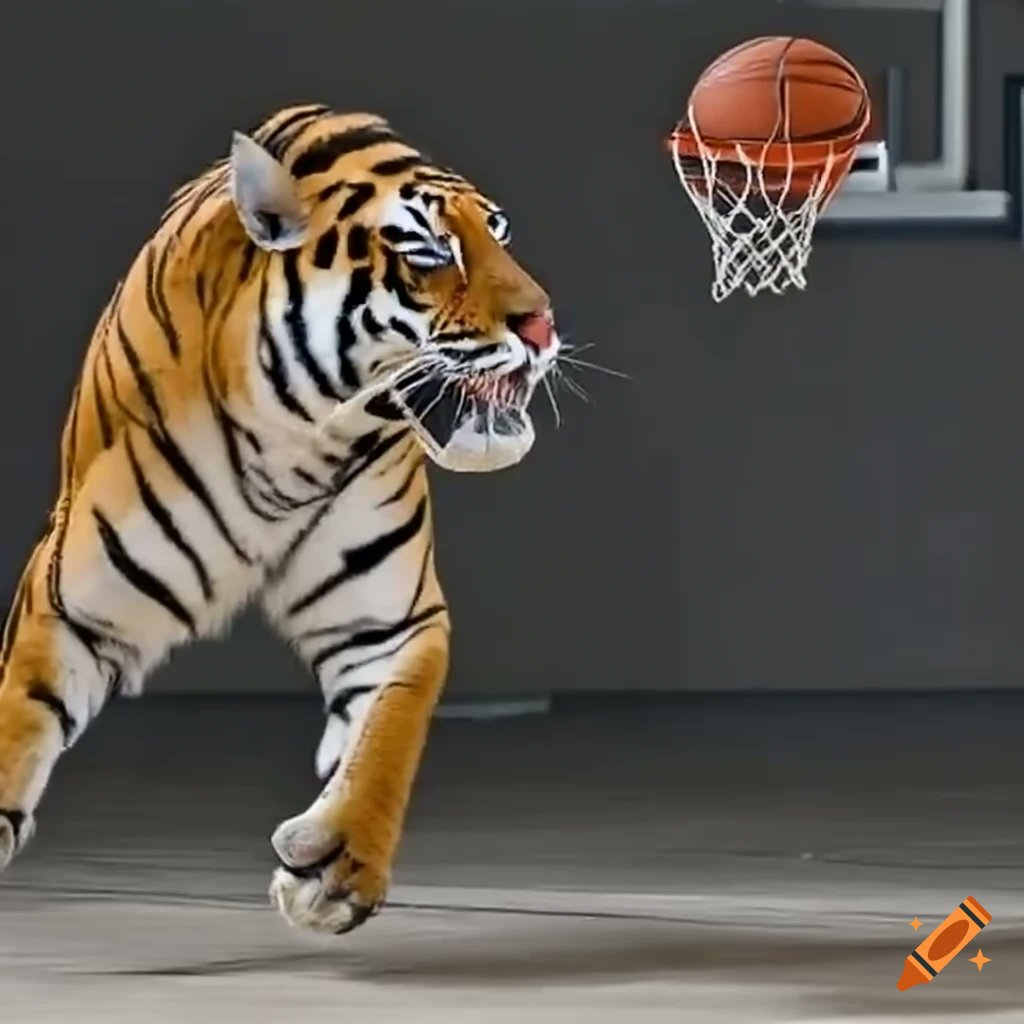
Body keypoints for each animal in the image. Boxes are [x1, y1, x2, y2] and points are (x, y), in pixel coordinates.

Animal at [0, 104, 561, 935]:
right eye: (429, 251)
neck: (297, 439)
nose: (543, 327)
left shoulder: (391, 624)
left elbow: (389, 732)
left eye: (501, 234)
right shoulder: (72, 602)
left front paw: (336, 868)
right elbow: (18, 718)